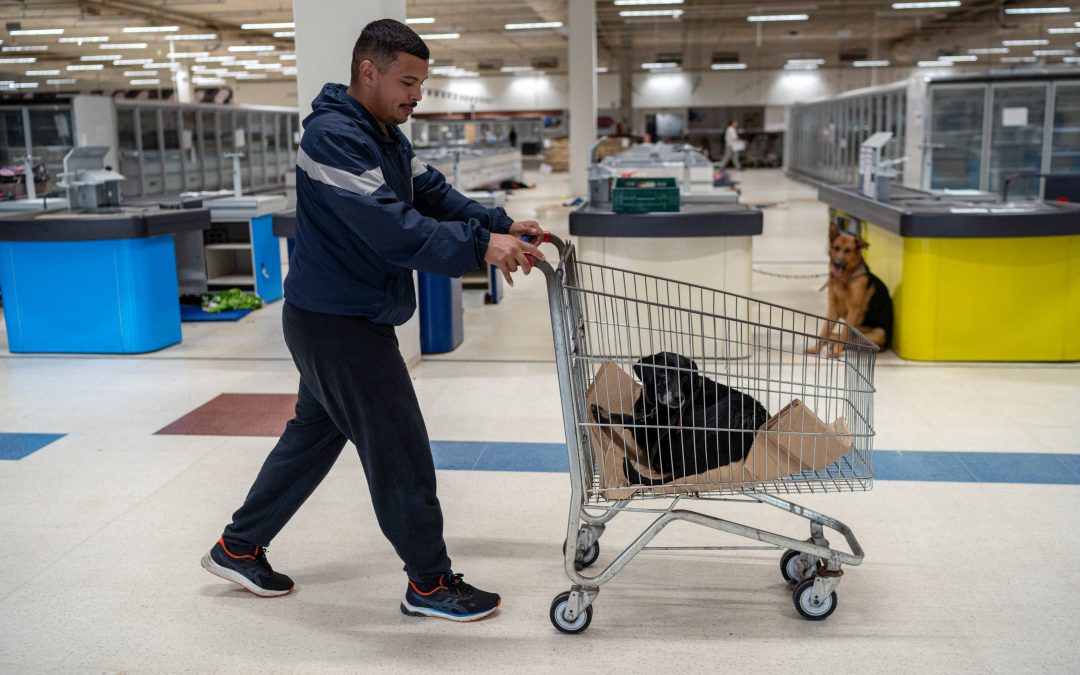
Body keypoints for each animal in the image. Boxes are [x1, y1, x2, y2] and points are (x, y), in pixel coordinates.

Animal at [591, 352, 768, 483]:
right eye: (662, 372)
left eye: (684, 376)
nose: (678, 398)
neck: (655, 407)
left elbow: (627, 419)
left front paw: (605, 413)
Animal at [812, 222, 894, 358]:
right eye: (836, 248)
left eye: (848, 251)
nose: (837, 264)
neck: (845, 278)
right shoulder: (833, 310)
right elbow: (824, 332)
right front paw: (814, 349)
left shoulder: (853, 311)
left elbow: (844, 332)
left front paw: (835, 351)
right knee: (837, 336)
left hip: (879, 331)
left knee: (852, 342)